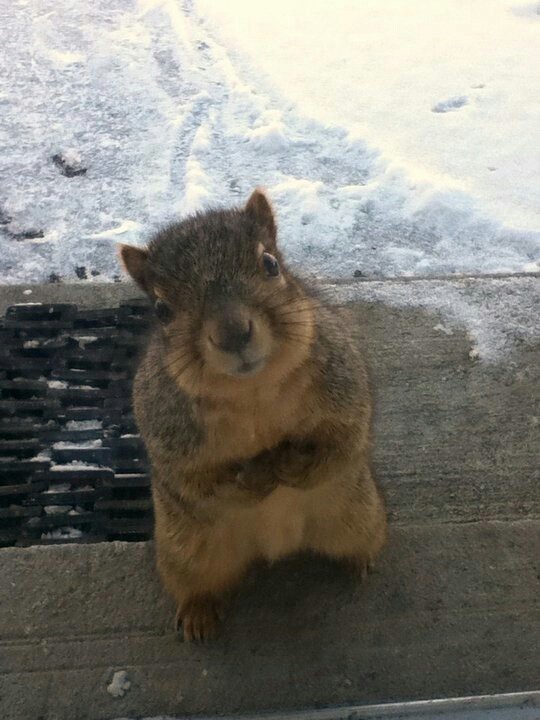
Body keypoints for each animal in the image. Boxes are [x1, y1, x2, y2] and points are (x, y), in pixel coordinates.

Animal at [119, 187, 386, 640]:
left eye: (270, 264)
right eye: (160, 309)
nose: (232, 333)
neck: (253, 392)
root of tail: (276, 549)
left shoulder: (345, 390)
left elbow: (344, 443)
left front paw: (298, 468)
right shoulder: (169, 434)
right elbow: (195, 483)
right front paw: (253, 482)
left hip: (359, 515)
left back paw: (360, 561)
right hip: (186, 554)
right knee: (196, 582)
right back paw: (198, 612)